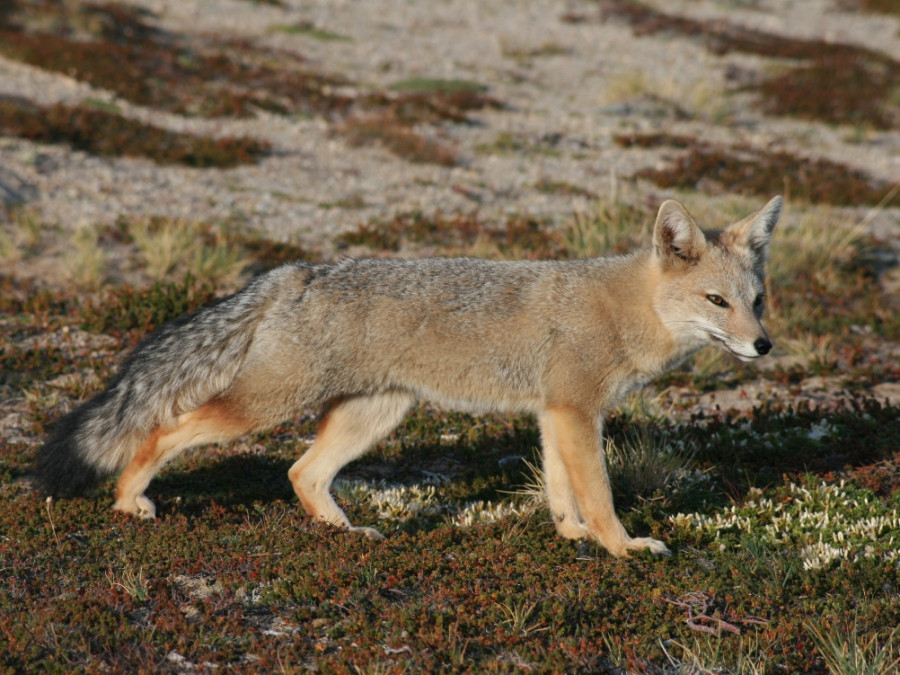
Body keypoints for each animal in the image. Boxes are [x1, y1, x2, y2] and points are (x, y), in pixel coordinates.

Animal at [35, 197, 780, 560]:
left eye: (757, 300)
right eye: (718, 301)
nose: (763, 345)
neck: (629, 309)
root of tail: (297, 271)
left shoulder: (555, 413)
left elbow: (561, 492)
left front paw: (572, 538)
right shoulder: (576, 412)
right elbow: (598, 495)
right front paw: (622, 548)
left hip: (375, 414)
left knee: (301, 472)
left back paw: (343, 533)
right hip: (269, 406)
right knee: (163, 429)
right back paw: (129, 500)